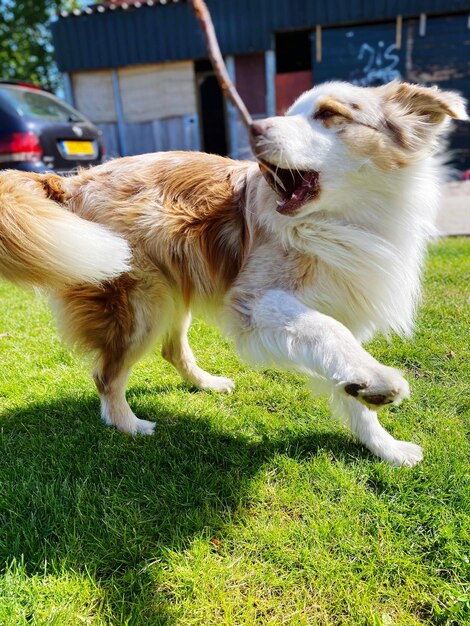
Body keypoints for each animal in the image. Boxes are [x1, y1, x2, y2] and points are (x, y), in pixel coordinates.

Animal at [2, 79, 466, 464]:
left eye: (329, 114)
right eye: (290, 112)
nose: (254, 129)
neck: (343, 223)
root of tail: (71, 182)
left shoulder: (344, 306)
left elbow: (347, 379)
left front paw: (383, 442)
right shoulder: (253, 301)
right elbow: (326, 329)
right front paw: (380, 381)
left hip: (172, 290)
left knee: (171, 350)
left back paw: (204, 384)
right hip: (142, 302)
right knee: (106, 375)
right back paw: (129, 425)